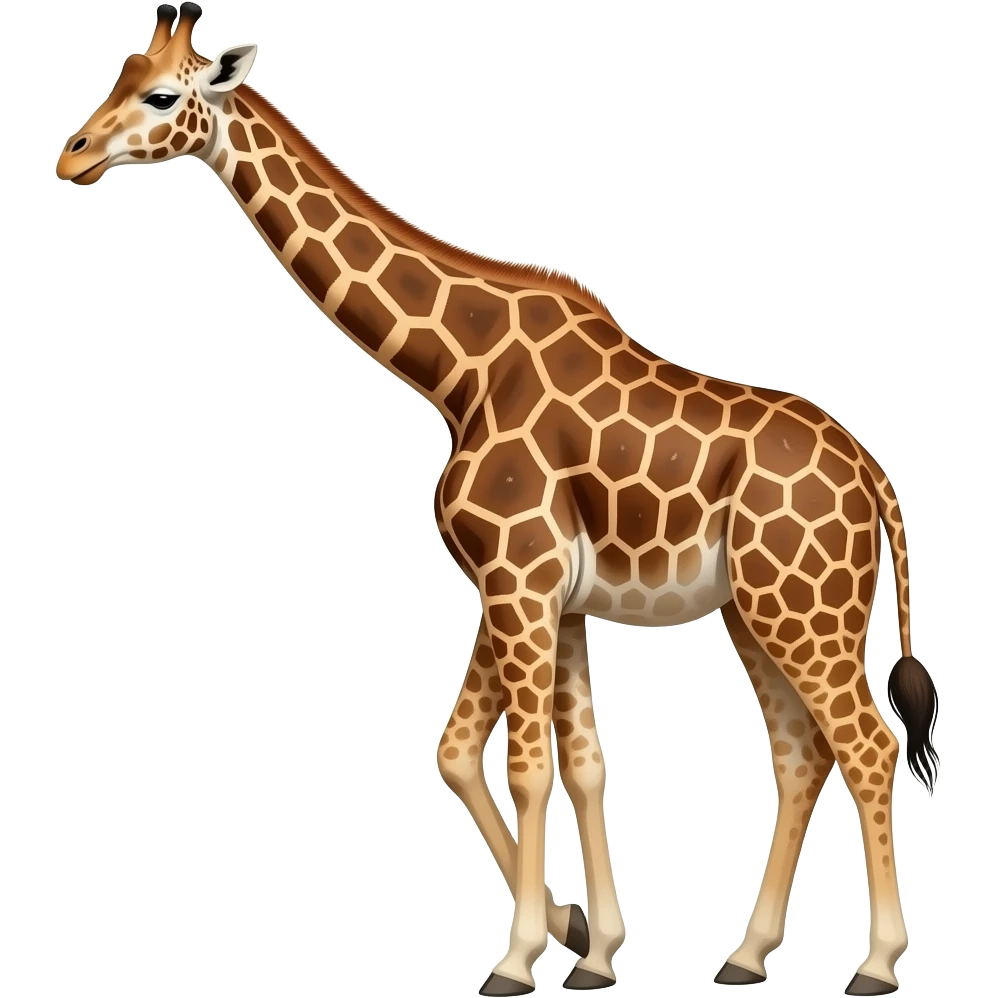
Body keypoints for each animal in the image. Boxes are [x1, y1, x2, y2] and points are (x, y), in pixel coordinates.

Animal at [54, 5, 941, 996]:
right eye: (122, 73)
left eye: (164, 96)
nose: (71, 157)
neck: (461, 370)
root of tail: (873, 474)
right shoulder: (547, 596)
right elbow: (550, 759)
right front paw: (590, 941)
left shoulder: (519, 576)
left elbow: (523, 763)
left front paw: (521, 956)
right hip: (761, 610)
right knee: (803, 752)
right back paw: (747, 955)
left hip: (803, 609)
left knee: (867, 745)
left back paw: (878, 964)